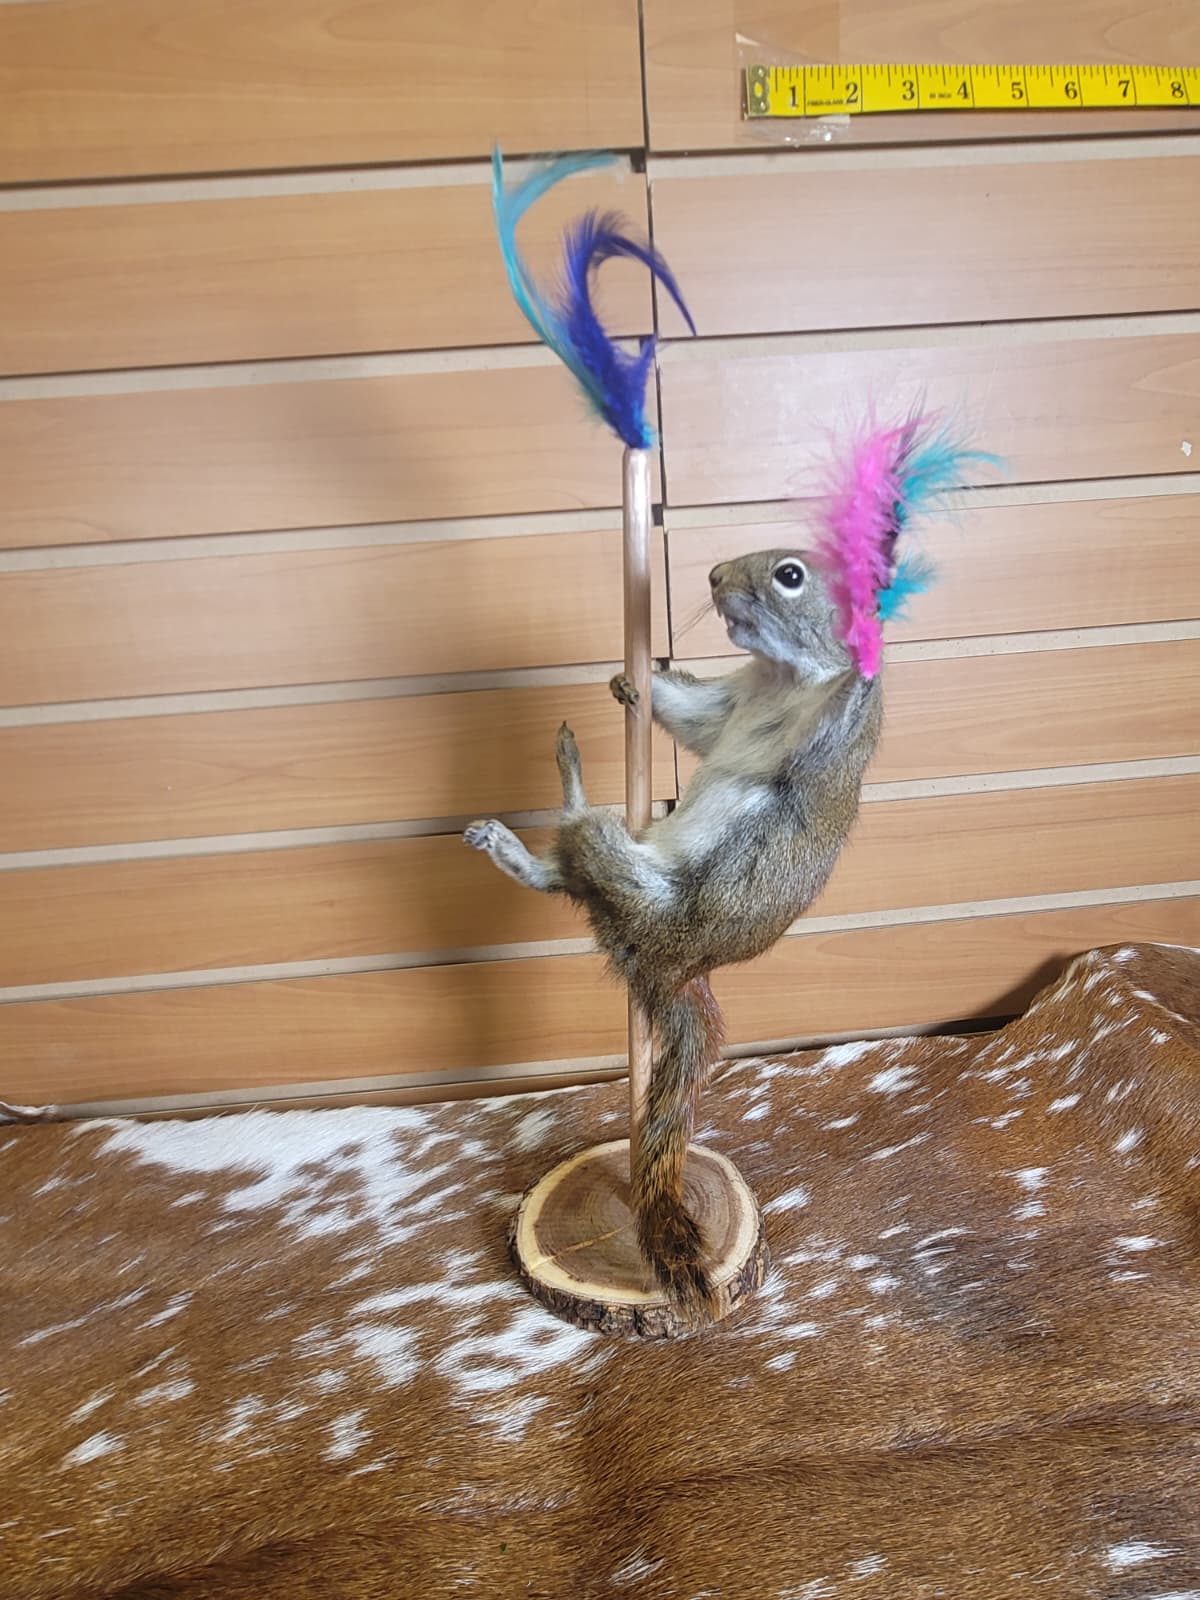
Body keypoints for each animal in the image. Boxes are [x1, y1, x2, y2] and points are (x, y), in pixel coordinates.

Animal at [464, 548, 882, 1319]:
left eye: (789, 575)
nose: (716, 574)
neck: (777, 680)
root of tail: (670, 968)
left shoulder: (828, 732)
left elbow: (845, 698)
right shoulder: (728, 706)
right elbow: (692, 717)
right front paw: (633, 679)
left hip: (638, 887)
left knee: (580, 843)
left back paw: (566, 780)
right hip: (616, 888)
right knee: (562, 877)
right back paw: (514, 831)